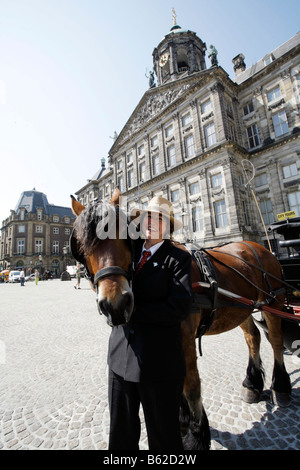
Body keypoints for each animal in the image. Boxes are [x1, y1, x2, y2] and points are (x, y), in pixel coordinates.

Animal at [69, 189, 290, 450]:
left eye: (124, 235)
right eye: (83, 244)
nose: (116, 304)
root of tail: (257, 245)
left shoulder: (184, 339)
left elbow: (191, 384)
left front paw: (196, 435)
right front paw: (182, 421)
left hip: (274, 303)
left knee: (276, 340)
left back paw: (281, 387)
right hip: (241, 308)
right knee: (253, 337)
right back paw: (252, 384)